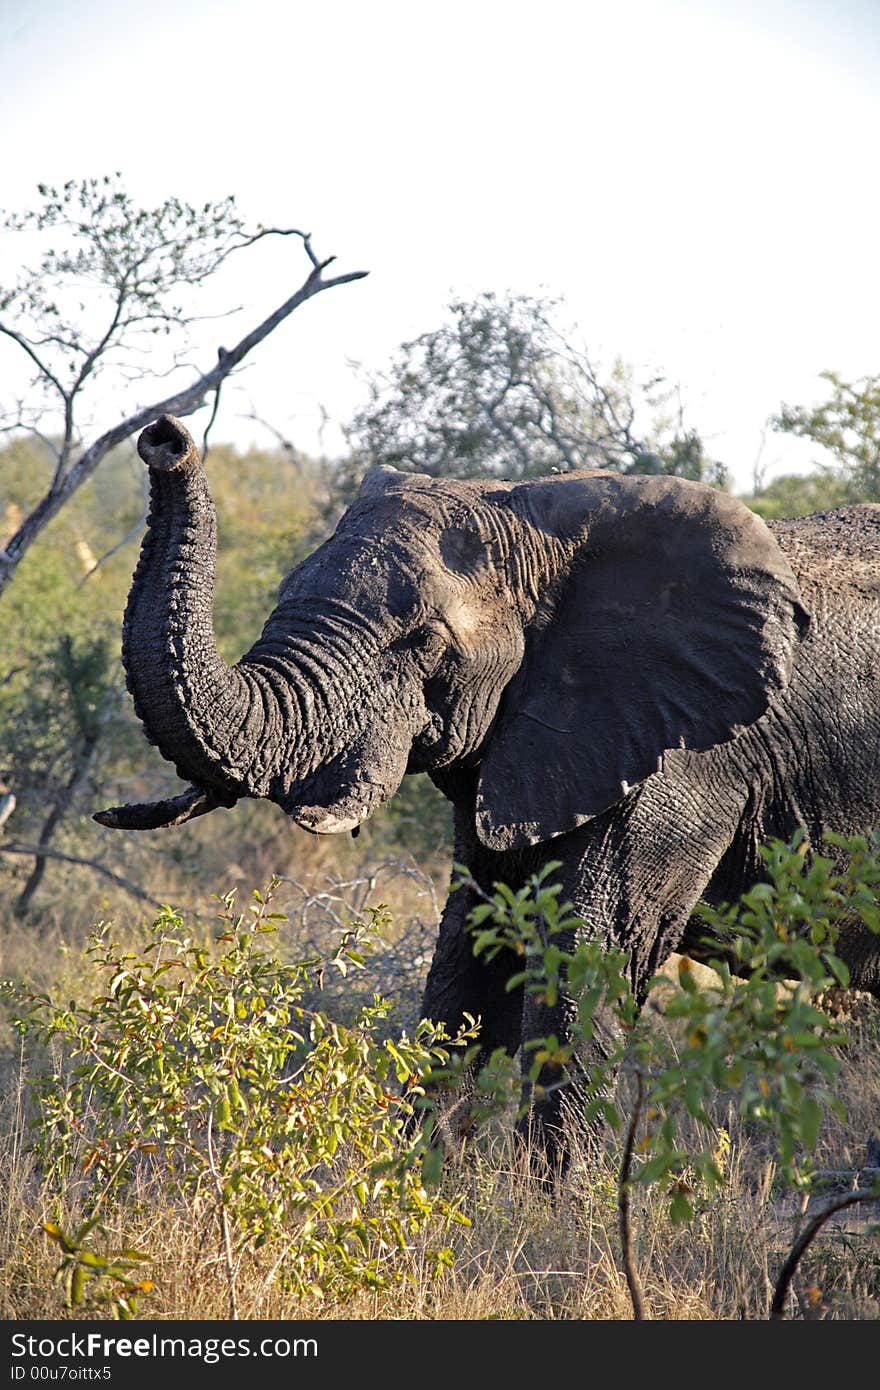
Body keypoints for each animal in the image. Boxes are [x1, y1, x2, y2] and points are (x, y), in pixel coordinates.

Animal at [98, 411, 878, 1162]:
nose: (164, 437)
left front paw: (562, 1202)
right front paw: (427, 1184)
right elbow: (469, 958)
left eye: (421, 641)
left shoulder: (684, 755)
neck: (544, 518)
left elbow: (591, 958)